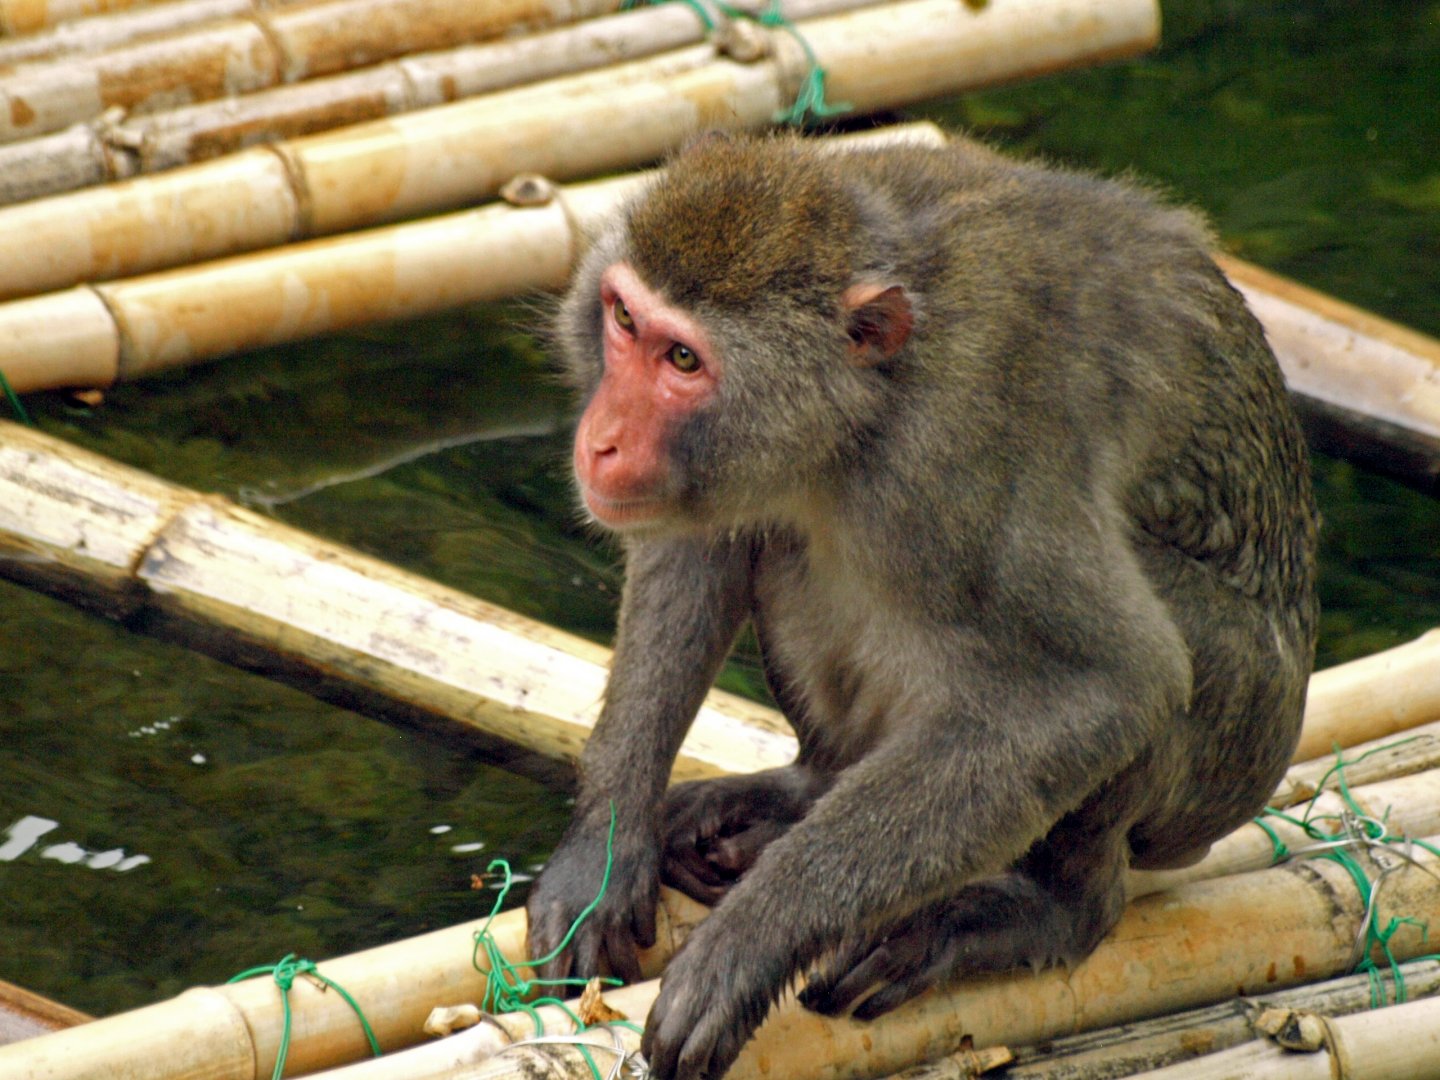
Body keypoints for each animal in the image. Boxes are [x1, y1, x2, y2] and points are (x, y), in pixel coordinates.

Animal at [524, 131, 1319, 1080]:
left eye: (683, 361)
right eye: (623, 321)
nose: (601, 440)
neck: (863, 410)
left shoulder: (965, 459)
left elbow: (1104, 683)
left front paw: (749, 945)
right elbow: (696, 550)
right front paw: (603, 853)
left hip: (1231, 759)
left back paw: (1048, 907)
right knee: (785, 544)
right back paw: (801, 789)